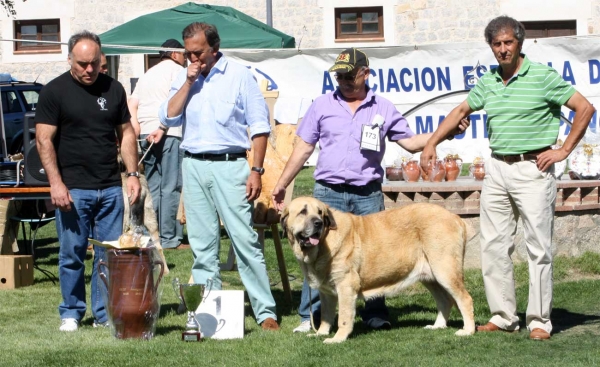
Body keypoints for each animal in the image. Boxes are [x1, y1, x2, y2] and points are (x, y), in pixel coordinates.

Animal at [282, 198, 474, 344]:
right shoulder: (327, 292)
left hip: (445, 270)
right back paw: (438, 326)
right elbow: (326, 315)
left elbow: (344, 316)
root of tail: (456, 217)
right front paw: (321, 333)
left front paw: (337, 339)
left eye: (320, 212)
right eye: (303, 212)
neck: (323, 244)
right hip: (430, 276)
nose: (318, 223)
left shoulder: (346, 286)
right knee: (445, 301)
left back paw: (468, 330)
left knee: (464, 299)